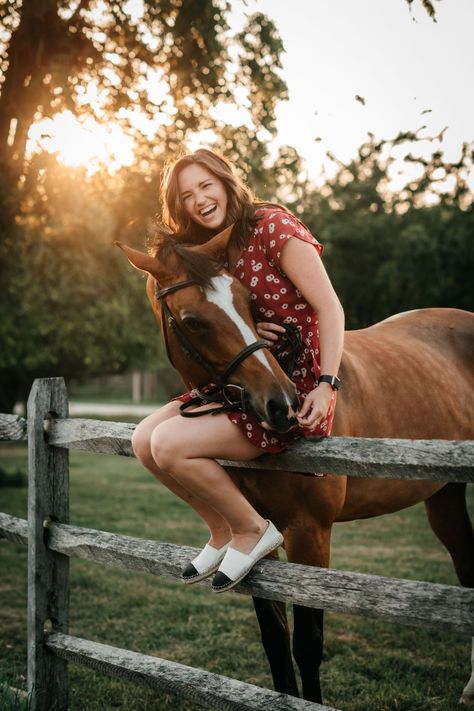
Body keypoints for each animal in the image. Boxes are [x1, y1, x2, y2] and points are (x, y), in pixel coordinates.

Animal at [115, 228, 474, 708]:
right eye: (193, 321)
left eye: (248, 301)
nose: (281, 403)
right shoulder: (256, 542)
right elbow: (275, 640)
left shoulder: (310, 534)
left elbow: (307, 643)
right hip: (445, 495)